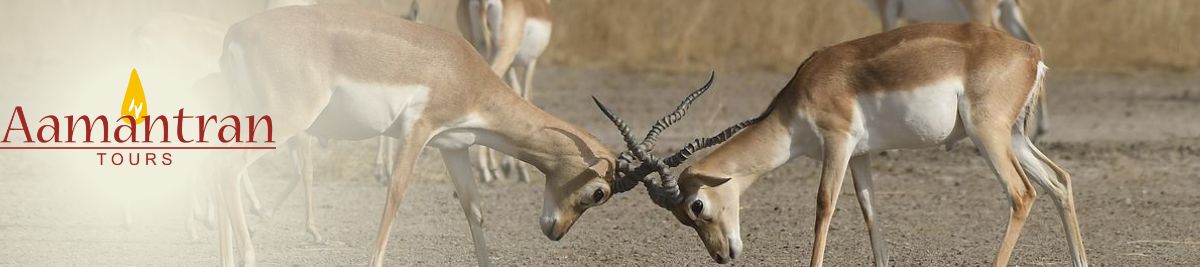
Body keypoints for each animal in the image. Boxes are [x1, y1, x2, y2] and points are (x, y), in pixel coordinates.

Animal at [456, 0, 554, 182]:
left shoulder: (511, 67)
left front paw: (507, 166)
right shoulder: (531, 61)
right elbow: (525, 98)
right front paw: (521, 169)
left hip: (475, 47)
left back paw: (491, 169)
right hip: (502, 53)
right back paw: (486, 171)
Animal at [597, 23, 1089, 267]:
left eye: (696, 206)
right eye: (682, 218)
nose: (721, 255)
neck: (802, 96)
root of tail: (1029, 52)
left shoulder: (838, 144)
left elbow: (823, 206)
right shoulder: (862, 156)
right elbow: (870, 213)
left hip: (988, 135)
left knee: (1022, 193)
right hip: (1014, 136)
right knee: (1060, 181)